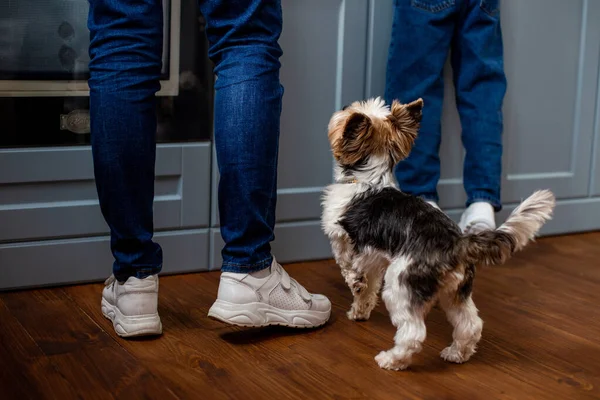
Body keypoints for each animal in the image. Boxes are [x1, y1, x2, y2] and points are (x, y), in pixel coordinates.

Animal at [322, 97, 556, 372]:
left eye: (349, 112)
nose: (343, 106)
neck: (370, 178)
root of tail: (459, 243)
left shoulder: (342, 237)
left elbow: (348, 266)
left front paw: (354, 284)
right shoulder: (375, 259)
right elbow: (367, 287)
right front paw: (360, 309)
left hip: (401, 287)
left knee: (413, 333)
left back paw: (392, 360)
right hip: (455, 291)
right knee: (470, 324)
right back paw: (457, 353)